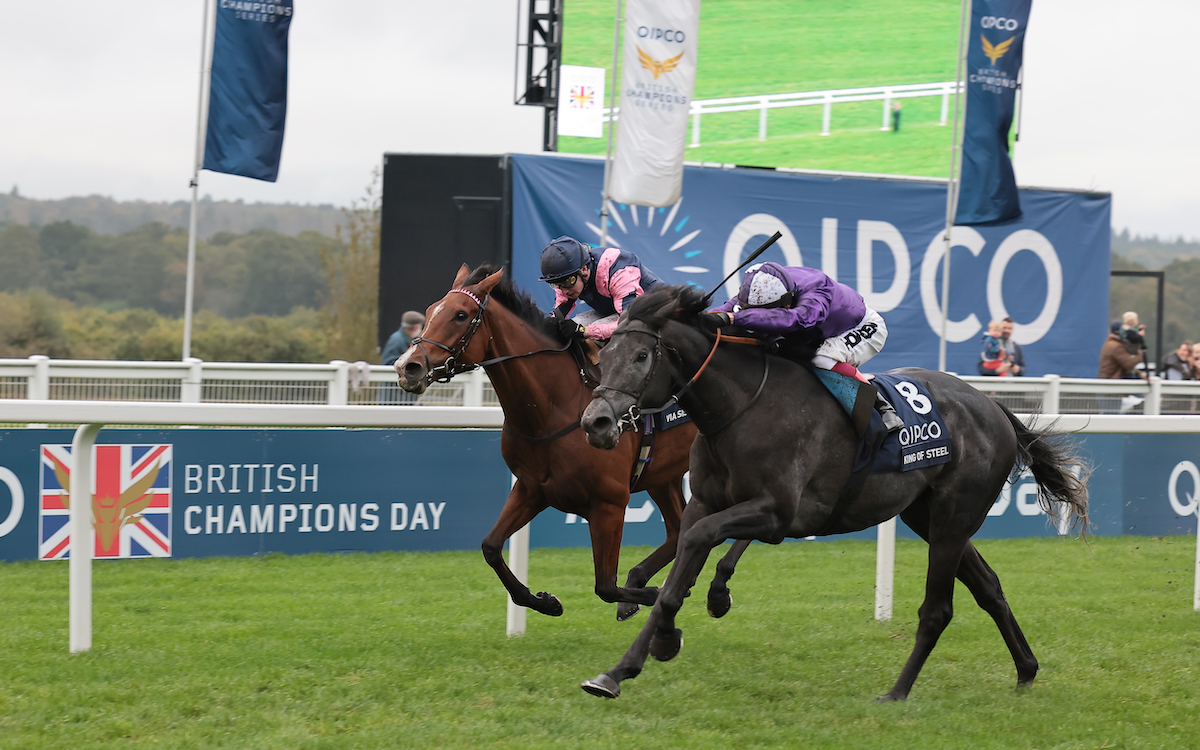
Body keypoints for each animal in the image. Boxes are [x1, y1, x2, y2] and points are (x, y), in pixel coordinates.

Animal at [393, 262, 710, 619]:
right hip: (660, 474)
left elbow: (606, 585)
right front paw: (544, 601)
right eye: (430, 311)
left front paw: (652, 595)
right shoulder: (532, 488)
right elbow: (490, 547)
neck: (554, 406)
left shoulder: (610, 503)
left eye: (461, 315)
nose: (407, 367)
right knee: (678, 528)